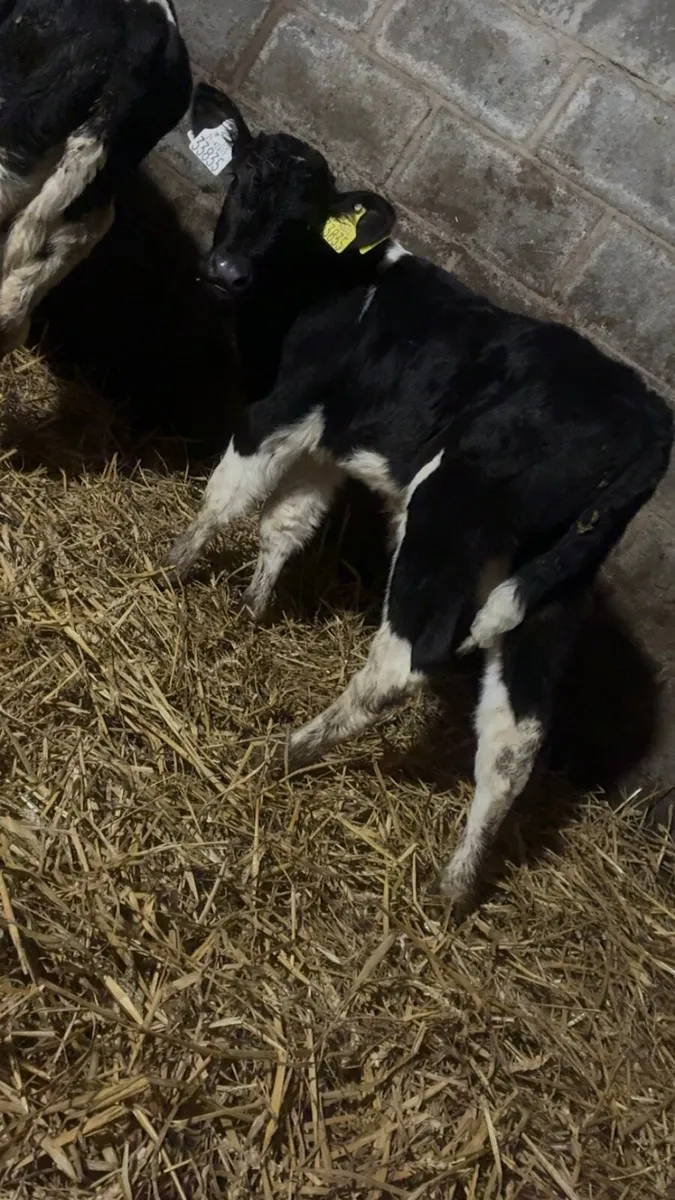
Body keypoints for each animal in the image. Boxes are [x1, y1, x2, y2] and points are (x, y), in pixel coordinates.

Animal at [167, 83, 673, 906]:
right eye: (239, 178)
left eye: (302, 219)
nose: (227, 270)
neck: (328, 287)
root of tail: (647, 411)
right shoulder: (328, 438)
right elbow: (288, 521)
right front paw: (251, 606)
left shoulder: (281, 407)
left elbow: (230, 495)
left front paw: (172, 567)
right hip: (551, 582)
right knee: (519, 733)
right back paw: (457, 883)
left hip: (450, 513)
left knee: (408, 659)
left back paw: (292, 747)